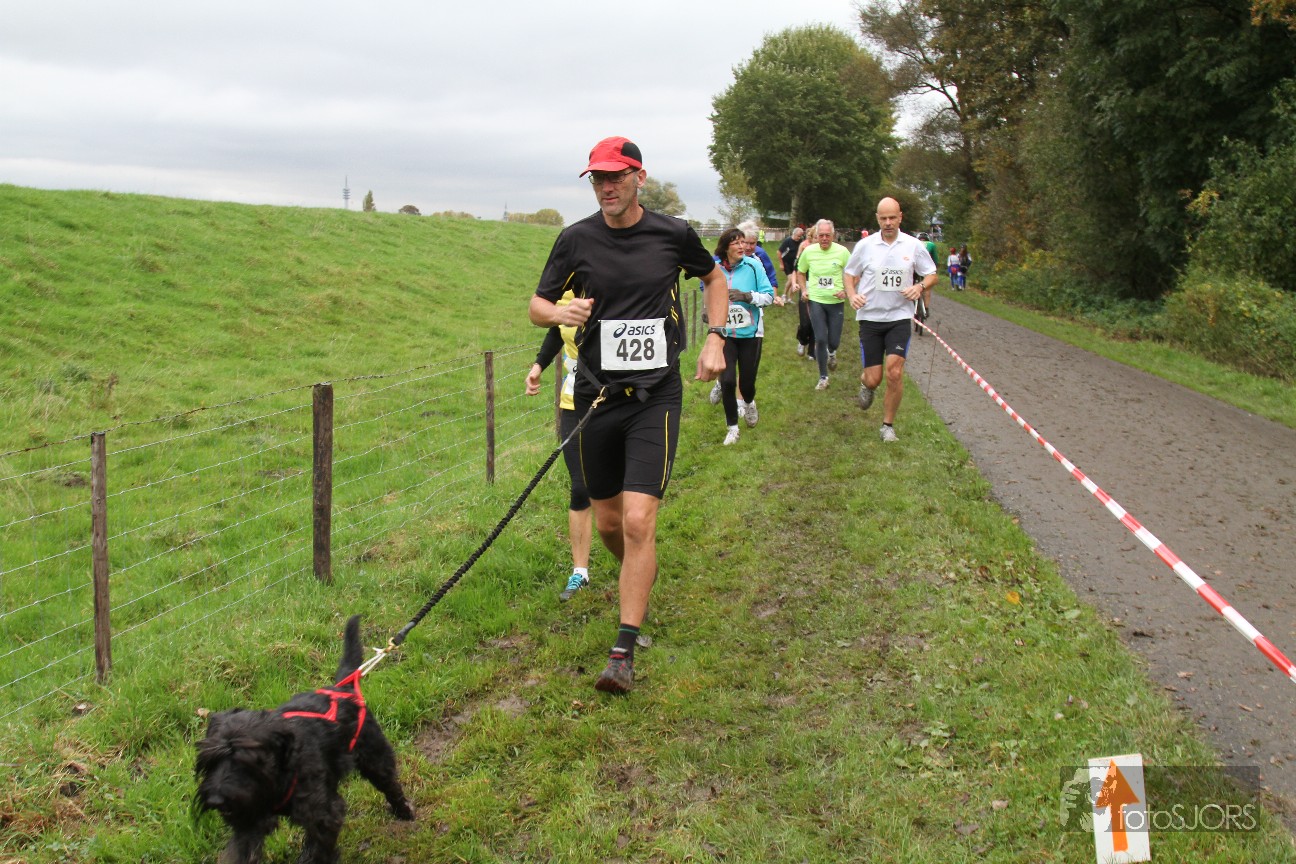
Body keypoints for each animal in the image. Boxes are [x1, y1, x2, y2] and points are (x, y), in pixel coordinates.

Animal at [195, 615, 414, 863]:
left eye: (247, 760)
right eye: (209, 761)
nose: (216, 799)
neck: (281, 768)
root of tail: (342, 687)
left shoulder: (323, 815)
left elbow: (315, 851)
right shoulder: (248, 820)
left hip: (374, 756)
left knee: (390, 785)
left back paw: (403, 811)